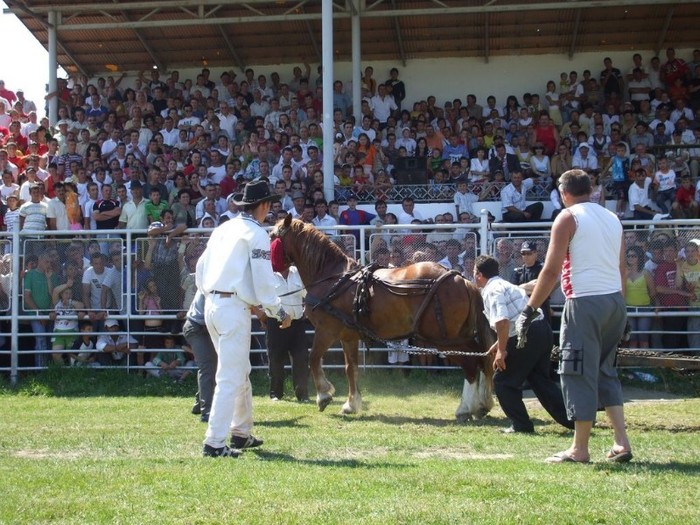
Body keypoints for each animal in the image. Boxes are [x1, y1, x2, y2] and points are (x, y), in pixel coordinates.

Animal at [270, 214, 494, 422]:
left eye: (272, 236)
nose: (270, 265)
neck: (332, 278)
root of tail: (463, 281)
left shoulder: (326, 330)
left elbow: (313, 359)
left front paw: (324, 395)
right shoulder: (348, 336)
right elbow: (351, 368)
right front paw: (351, 404)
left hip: (445, 339)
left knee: (472, 364)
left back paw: (465, 408)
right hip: (459, 336)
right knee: (483, 358)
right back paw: (481, 404)